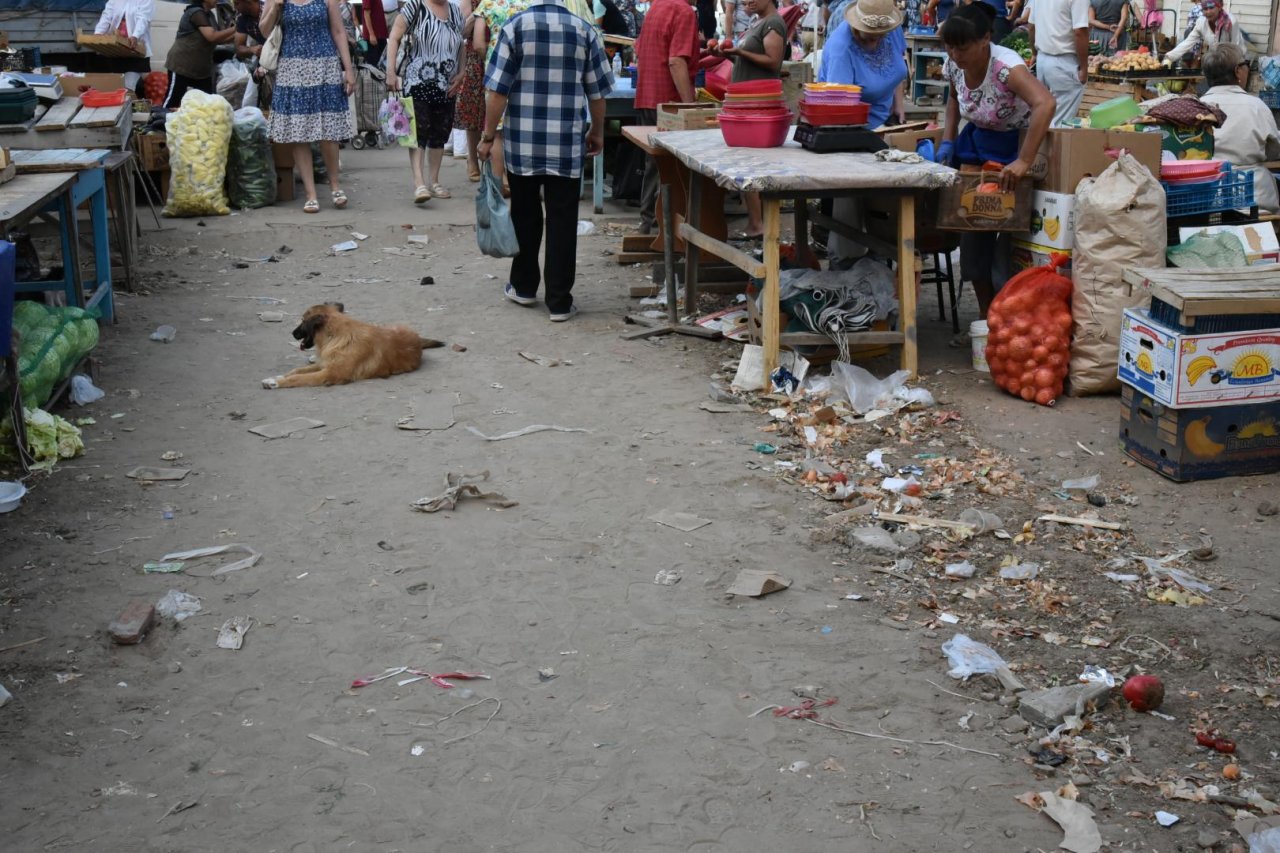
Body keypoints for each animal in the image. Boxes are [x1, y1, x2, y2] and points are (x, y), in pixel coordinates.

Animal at [261, 302, 445, 389]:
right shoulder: (325, 364)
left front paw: (276, 383)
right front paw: (277, 377)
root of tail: (417, 338)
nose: (293, 333)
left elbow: (298, 378)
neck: (335, 336)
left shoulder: (329, 373)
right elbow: (296, 371)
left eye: (302, 321)